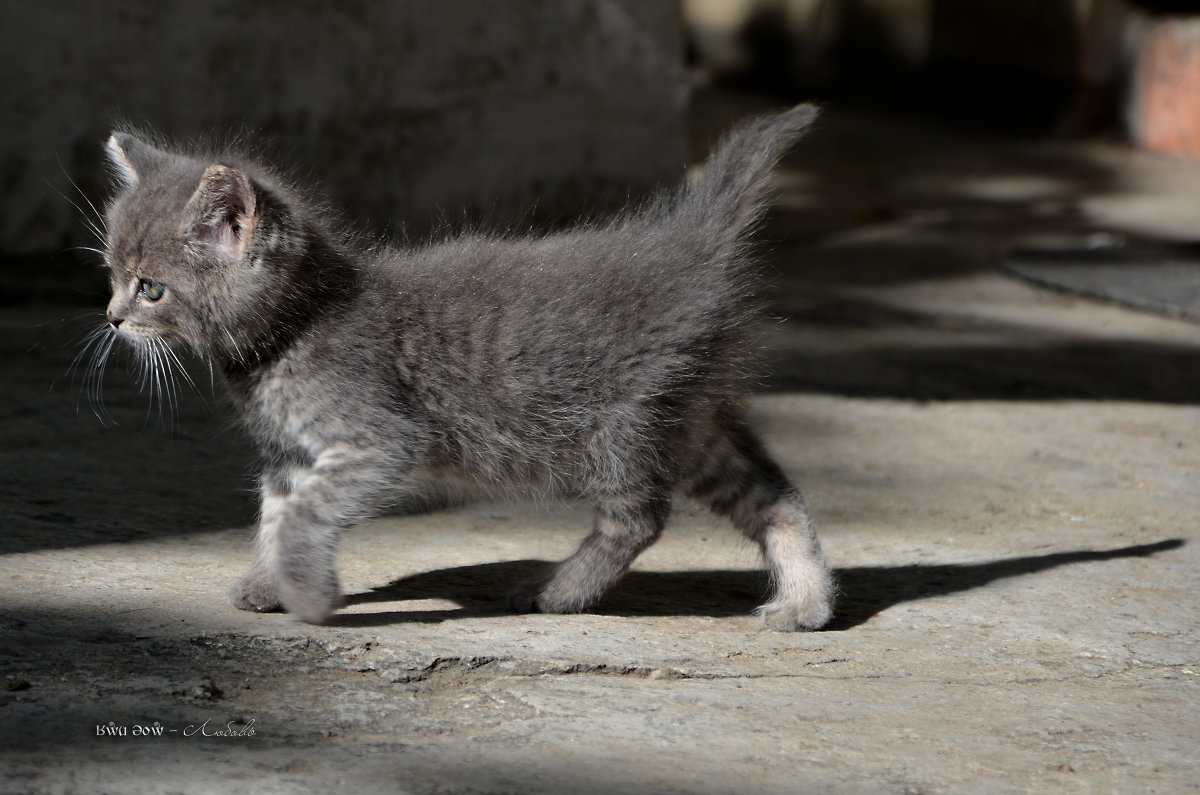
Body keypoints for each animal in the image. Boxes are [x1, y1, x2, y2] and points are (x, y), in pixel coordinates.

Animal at [96, 104, 835, 629]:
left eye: (150, 287)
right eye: (111, 274)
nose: (111, 317)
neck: (297, 325)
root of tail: (690, 242)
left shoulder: (377, 440)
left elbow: (306, 515)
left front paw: (305, 594)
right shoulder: (290, 455)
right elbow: (276, 515)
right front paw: (267, 580)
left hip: (628, 423)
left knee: (640, 519)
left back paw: (556, 591)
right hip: (695, 423)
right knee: (777, 499)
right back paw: (805, 605)